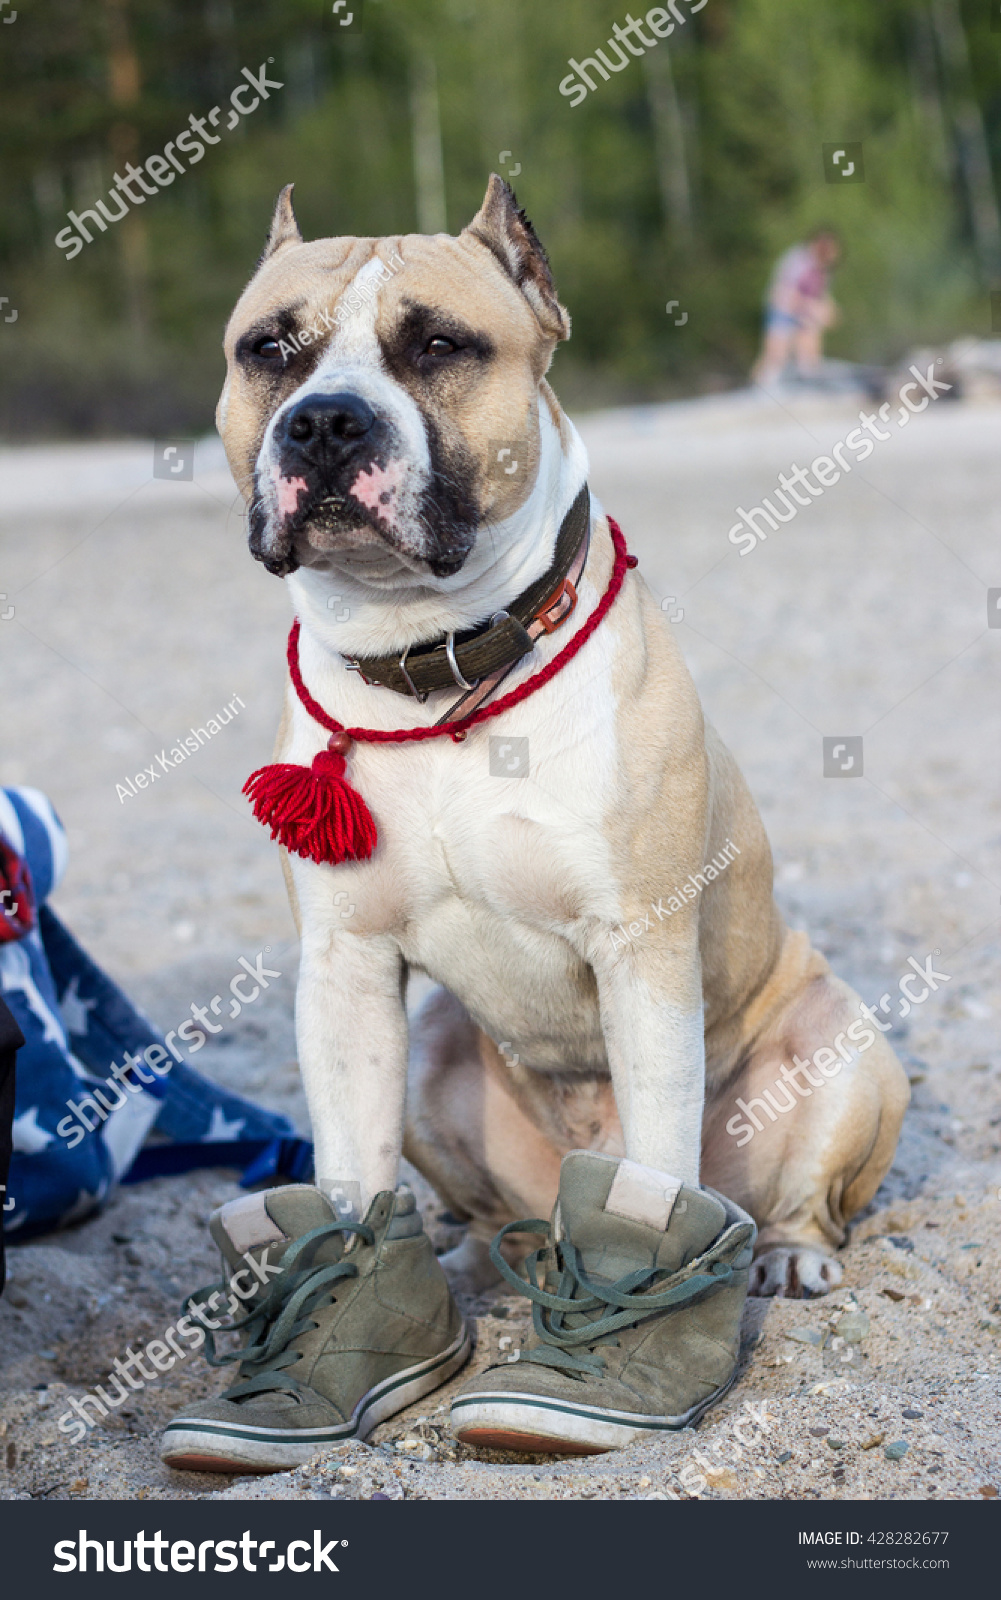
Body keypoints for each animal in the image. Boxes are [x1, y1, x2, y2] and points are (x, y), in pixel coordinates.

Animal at [215, 175, 901, 1299]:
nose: (323, 423)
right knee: (485, 1201)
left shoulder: (642, 954)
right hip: (433, 1047)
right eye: (268, 348)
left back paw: (786, 1256)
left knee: (795, 1197)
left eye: (440, 345)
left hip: (838, 1043)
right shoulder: (345, 970)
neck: (435, 665)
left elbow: (660, 1163)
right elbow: (350, 1167)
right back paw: (471, 1253)